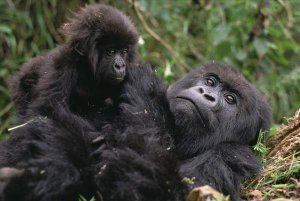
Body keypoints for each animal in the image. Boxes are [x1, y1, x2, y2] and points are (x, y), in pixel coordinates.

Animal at [11, 4, 139, 124]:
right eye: (110, 52)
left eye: (124, 51)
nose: (120, 66)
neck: (86, 69)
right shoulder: (62, 67)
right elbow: (46, 111)